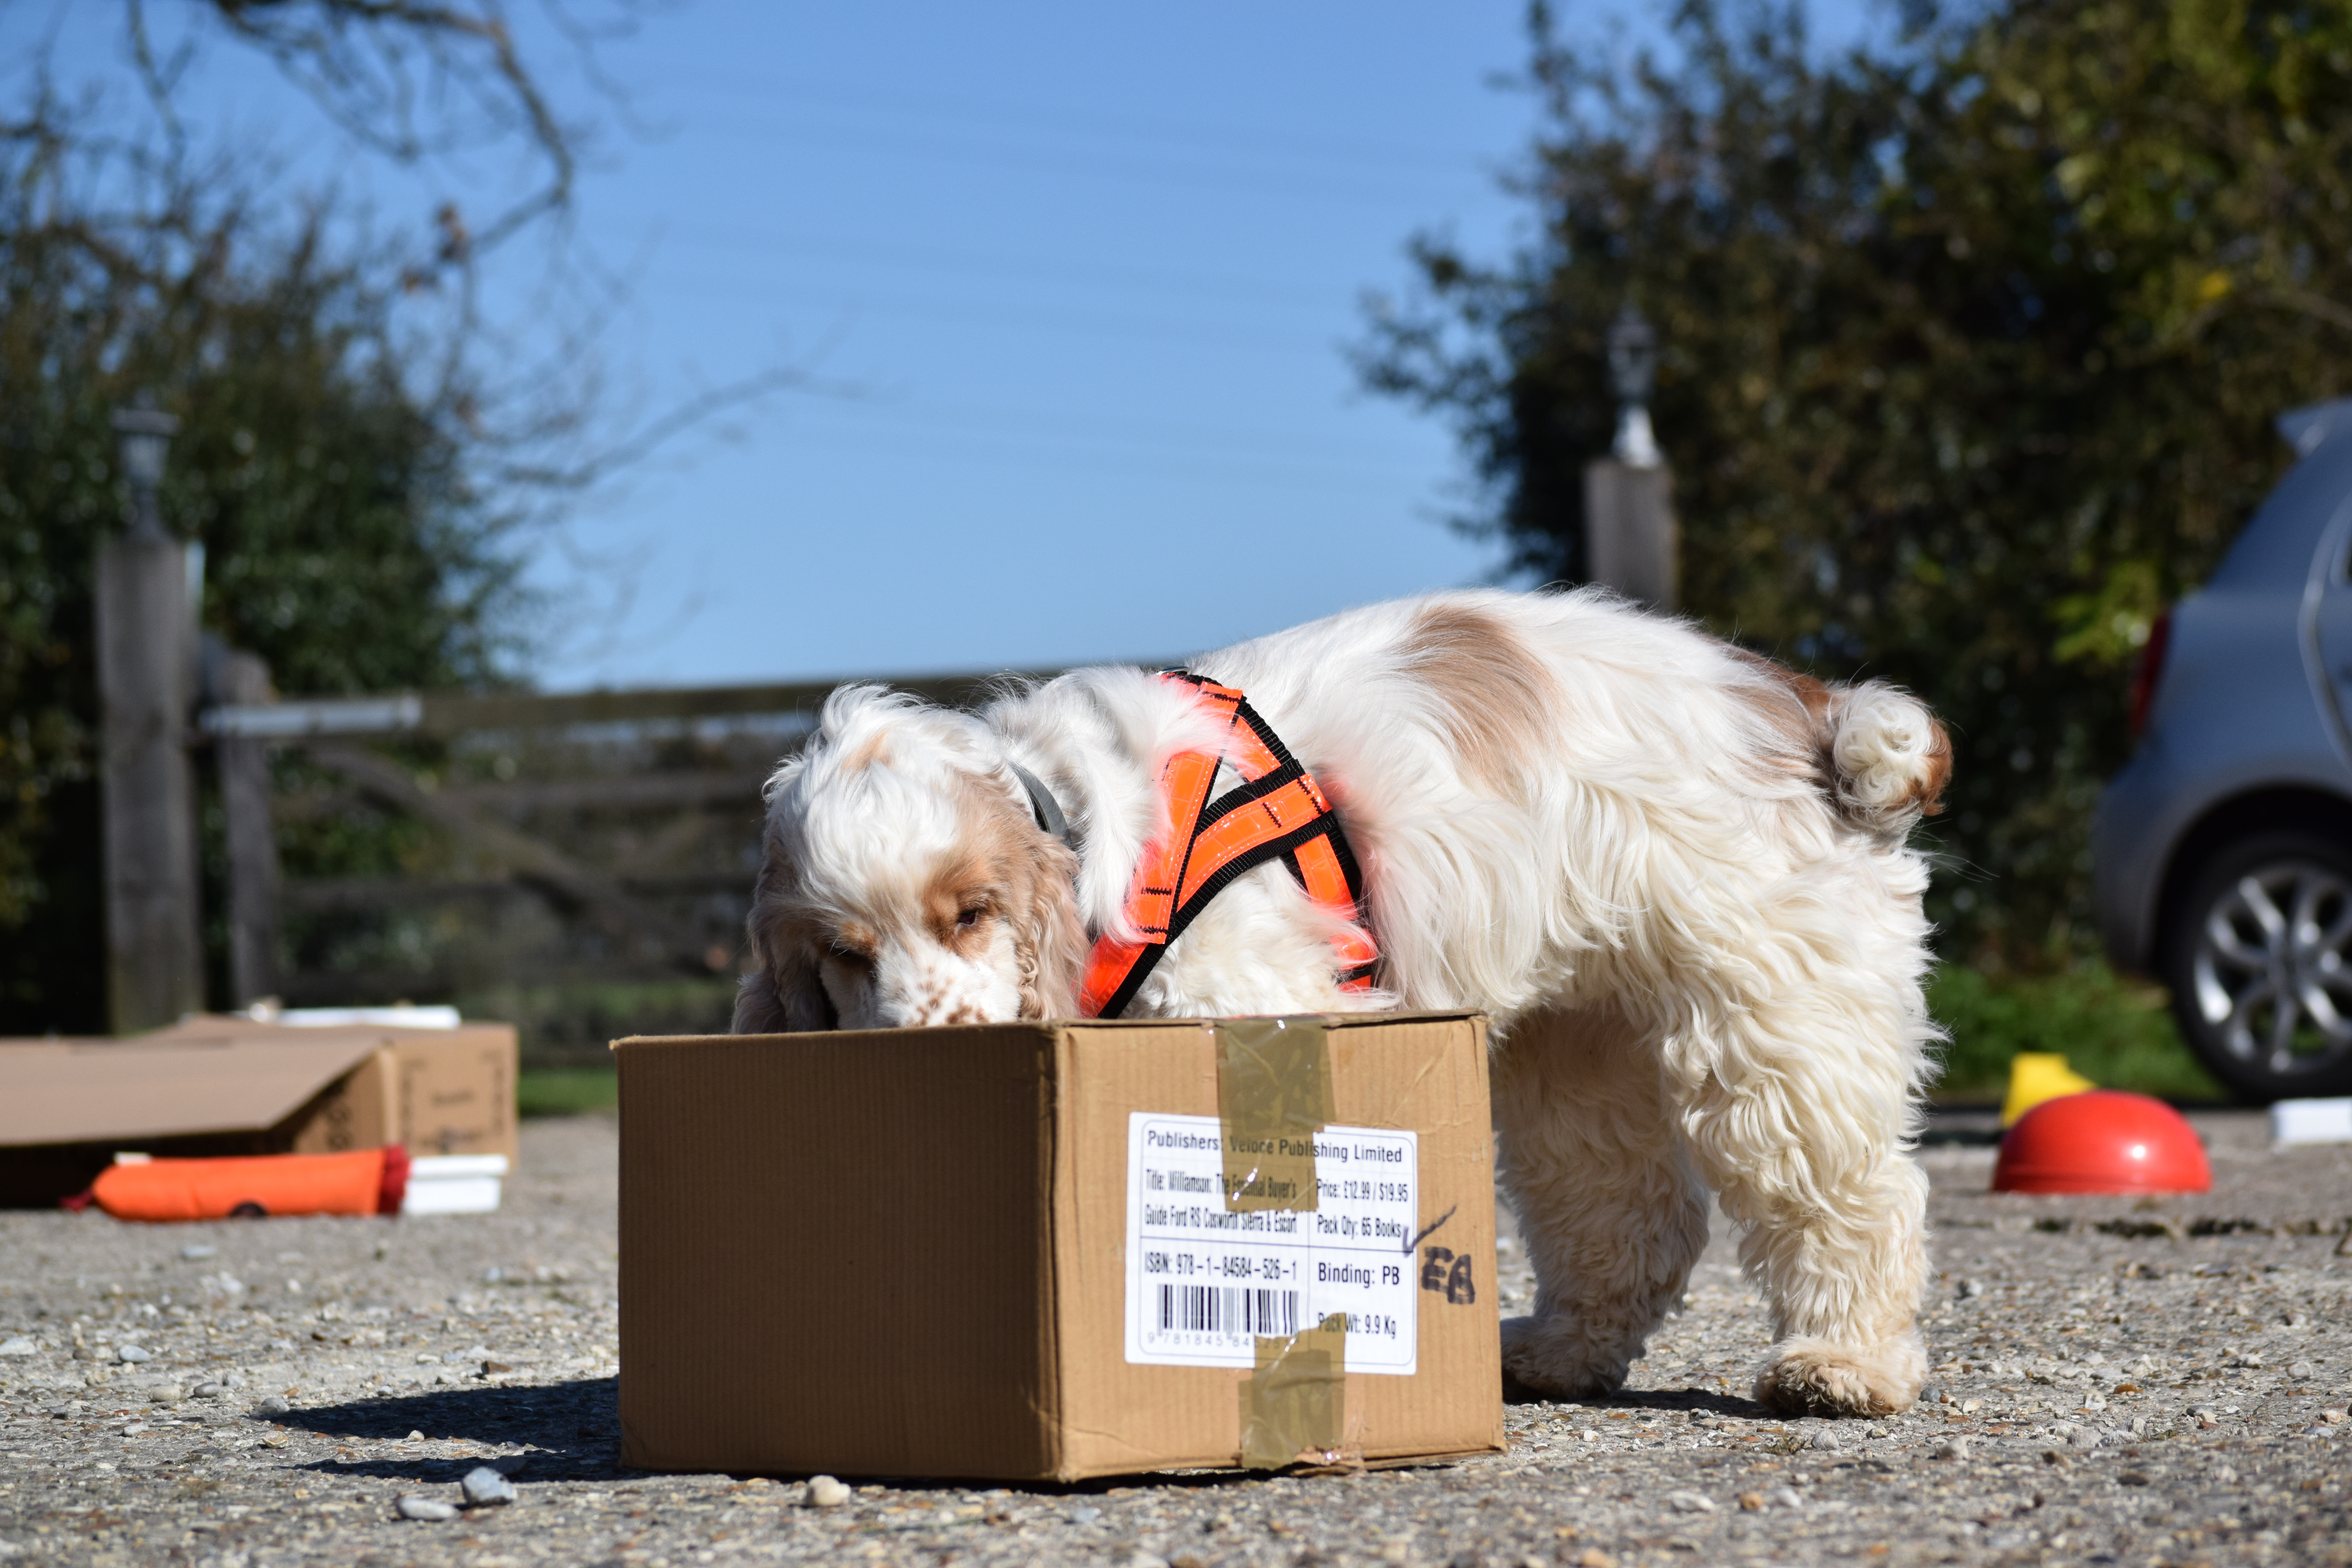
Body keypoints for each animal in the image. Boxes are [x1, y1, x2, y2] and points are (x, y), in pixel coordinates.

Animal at [734, 588, 1947, 1420]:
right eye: (843, 954)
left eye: (973, 913)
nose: (924, 1047)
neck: (1078, 817)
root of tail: (1811, 707)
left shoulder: (1256, 1003)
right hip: (1580, 1041)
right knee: (1625, 1207)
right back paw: (1558, 1354)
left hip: (1776, 1016)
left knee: (1853, 1193)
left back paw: (1841, 1366)